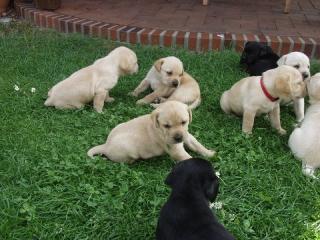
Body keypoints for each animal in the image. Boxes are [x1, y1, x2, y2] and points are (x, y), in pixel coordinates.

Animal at [87, 100, 215, 164]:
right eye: (166, 126)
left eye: (184, 122)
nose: (178, 138)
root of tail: (105, 145)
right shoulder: (176, 150)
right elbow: (190, 158)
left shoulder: (187, 136)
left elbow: (198, 145)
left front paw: (210, 153)